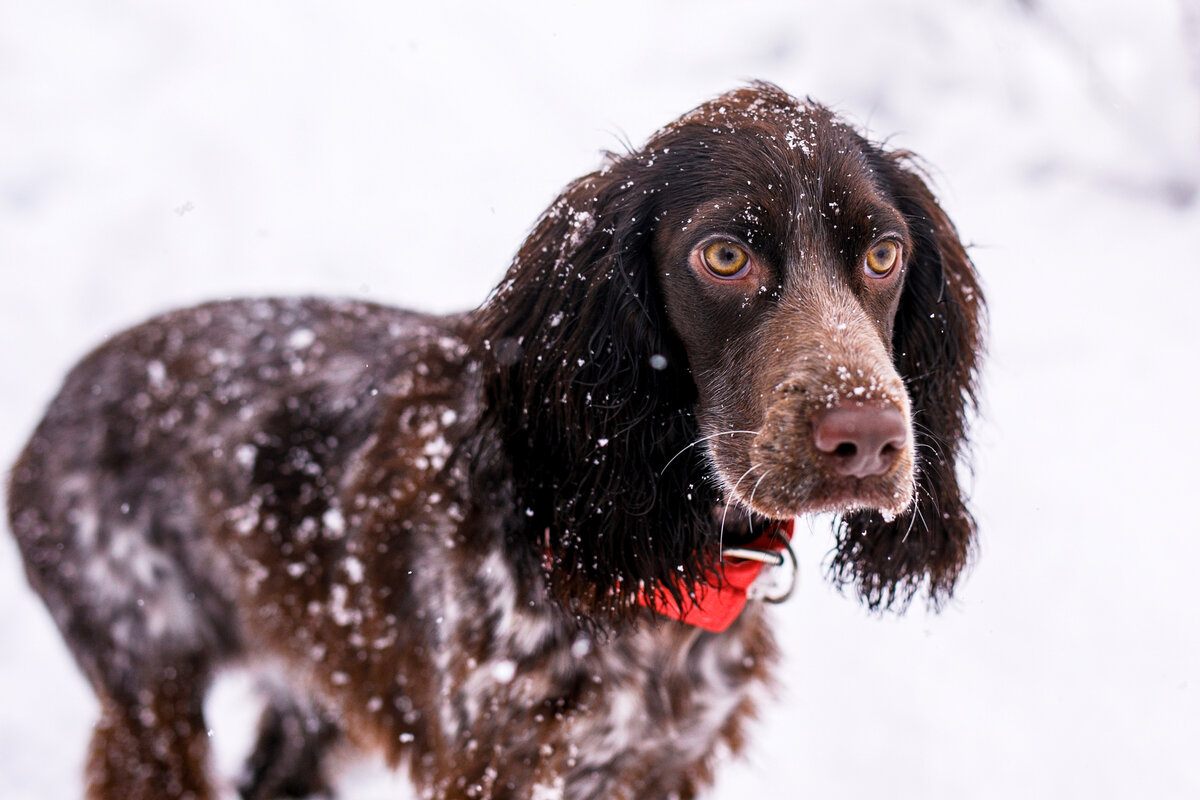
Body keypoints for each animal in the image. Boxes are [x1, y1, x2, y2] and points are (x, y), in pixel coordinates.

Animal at [9, 82, 984, 800]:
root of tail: (59, 402)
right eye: (723, 257)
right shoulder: (499, 762)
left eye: (885, 254)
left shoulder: (660, 764)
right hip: (150, 688)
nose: (866, 440)